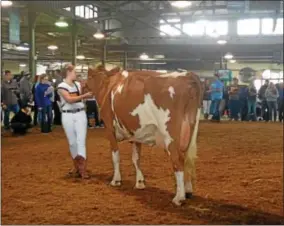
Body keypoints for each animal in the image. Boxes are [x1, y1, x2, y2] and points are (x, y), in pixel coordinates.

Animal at [86, 64, 202, 206]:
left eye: (88, 76)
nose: (83, 87)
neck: (108, 85)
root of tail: (188, 75)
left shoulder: (109, 128)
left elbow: (115, 156)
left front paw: (116, 180)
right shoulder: (136, 134)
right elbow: (136, 158)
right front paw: (140, 183)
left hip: (170, 134)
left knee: (178, 159)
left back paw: (179, 197)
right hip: (191, 130)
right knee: (188, 159)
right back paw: (188, 191)